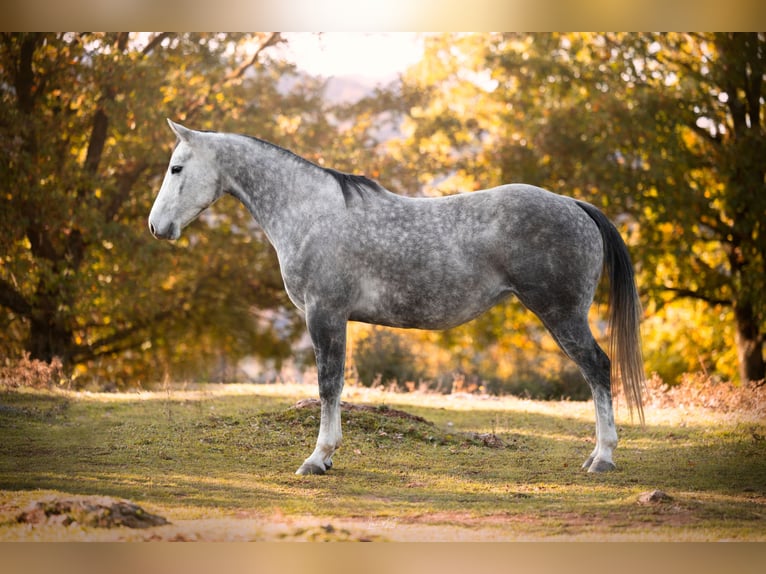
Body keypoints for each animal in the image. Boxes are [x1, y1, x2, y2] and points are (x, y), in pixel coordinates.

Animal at [148, 119, 645, 475]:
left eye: (176, 168)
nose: (156, 227)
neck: (310, 212)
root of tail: (574, 205)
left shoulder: (325, 314)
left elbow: (328, 384)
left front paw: (318, 458)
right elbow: (335, 385)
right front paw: (327, 455)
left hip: (562, 315)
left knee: (598, 369)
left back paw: (603, 458)